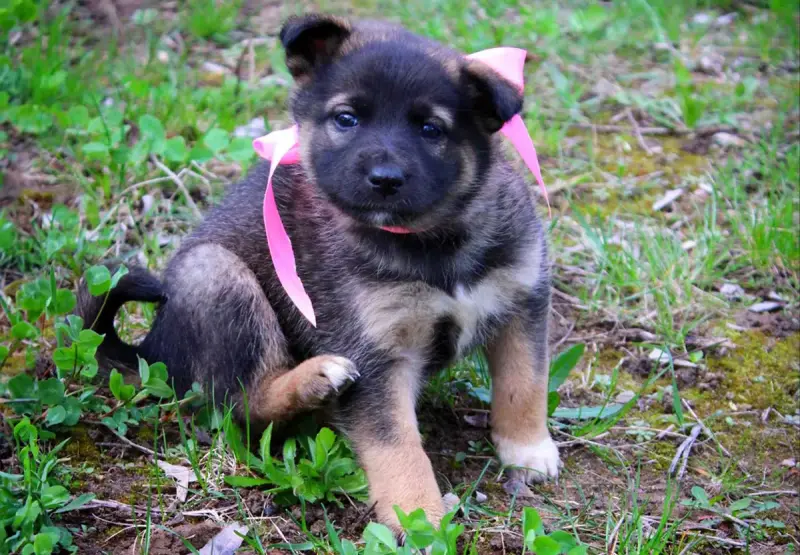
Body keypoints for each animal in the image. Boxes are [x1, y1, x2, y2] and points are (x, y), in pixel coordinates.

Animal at [78, 13, 560, 536]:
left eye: (432, 129)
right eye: (346, 119)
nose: (385, 178)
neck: (434, 240)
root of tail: (152, 350)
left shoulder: (524, 300)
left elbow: (524, 383)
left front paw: (527, 448)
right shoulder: (374, 352)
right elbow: (397, 446)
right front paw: (419, 518)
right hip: (214, 274)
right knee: (243, 403)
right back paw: (313, 379)